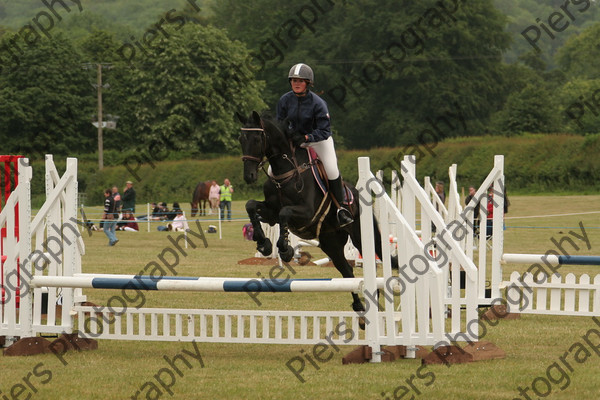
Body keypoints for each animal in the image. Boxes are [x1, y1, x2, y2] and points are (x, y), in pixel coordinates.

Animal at [237, 111, 396, 318]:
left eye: (257, 139)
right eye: (241, 139)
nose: (249, 176)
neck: (286, 171)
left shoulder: (307, 212)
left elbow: (284, 212)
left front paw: (285, 250)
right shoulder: (270, 212)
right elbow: (250, 205)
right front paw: (263, 243)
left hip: (360, 236)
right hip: (331, 243)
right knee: (347, 271)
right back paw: (359, 308)